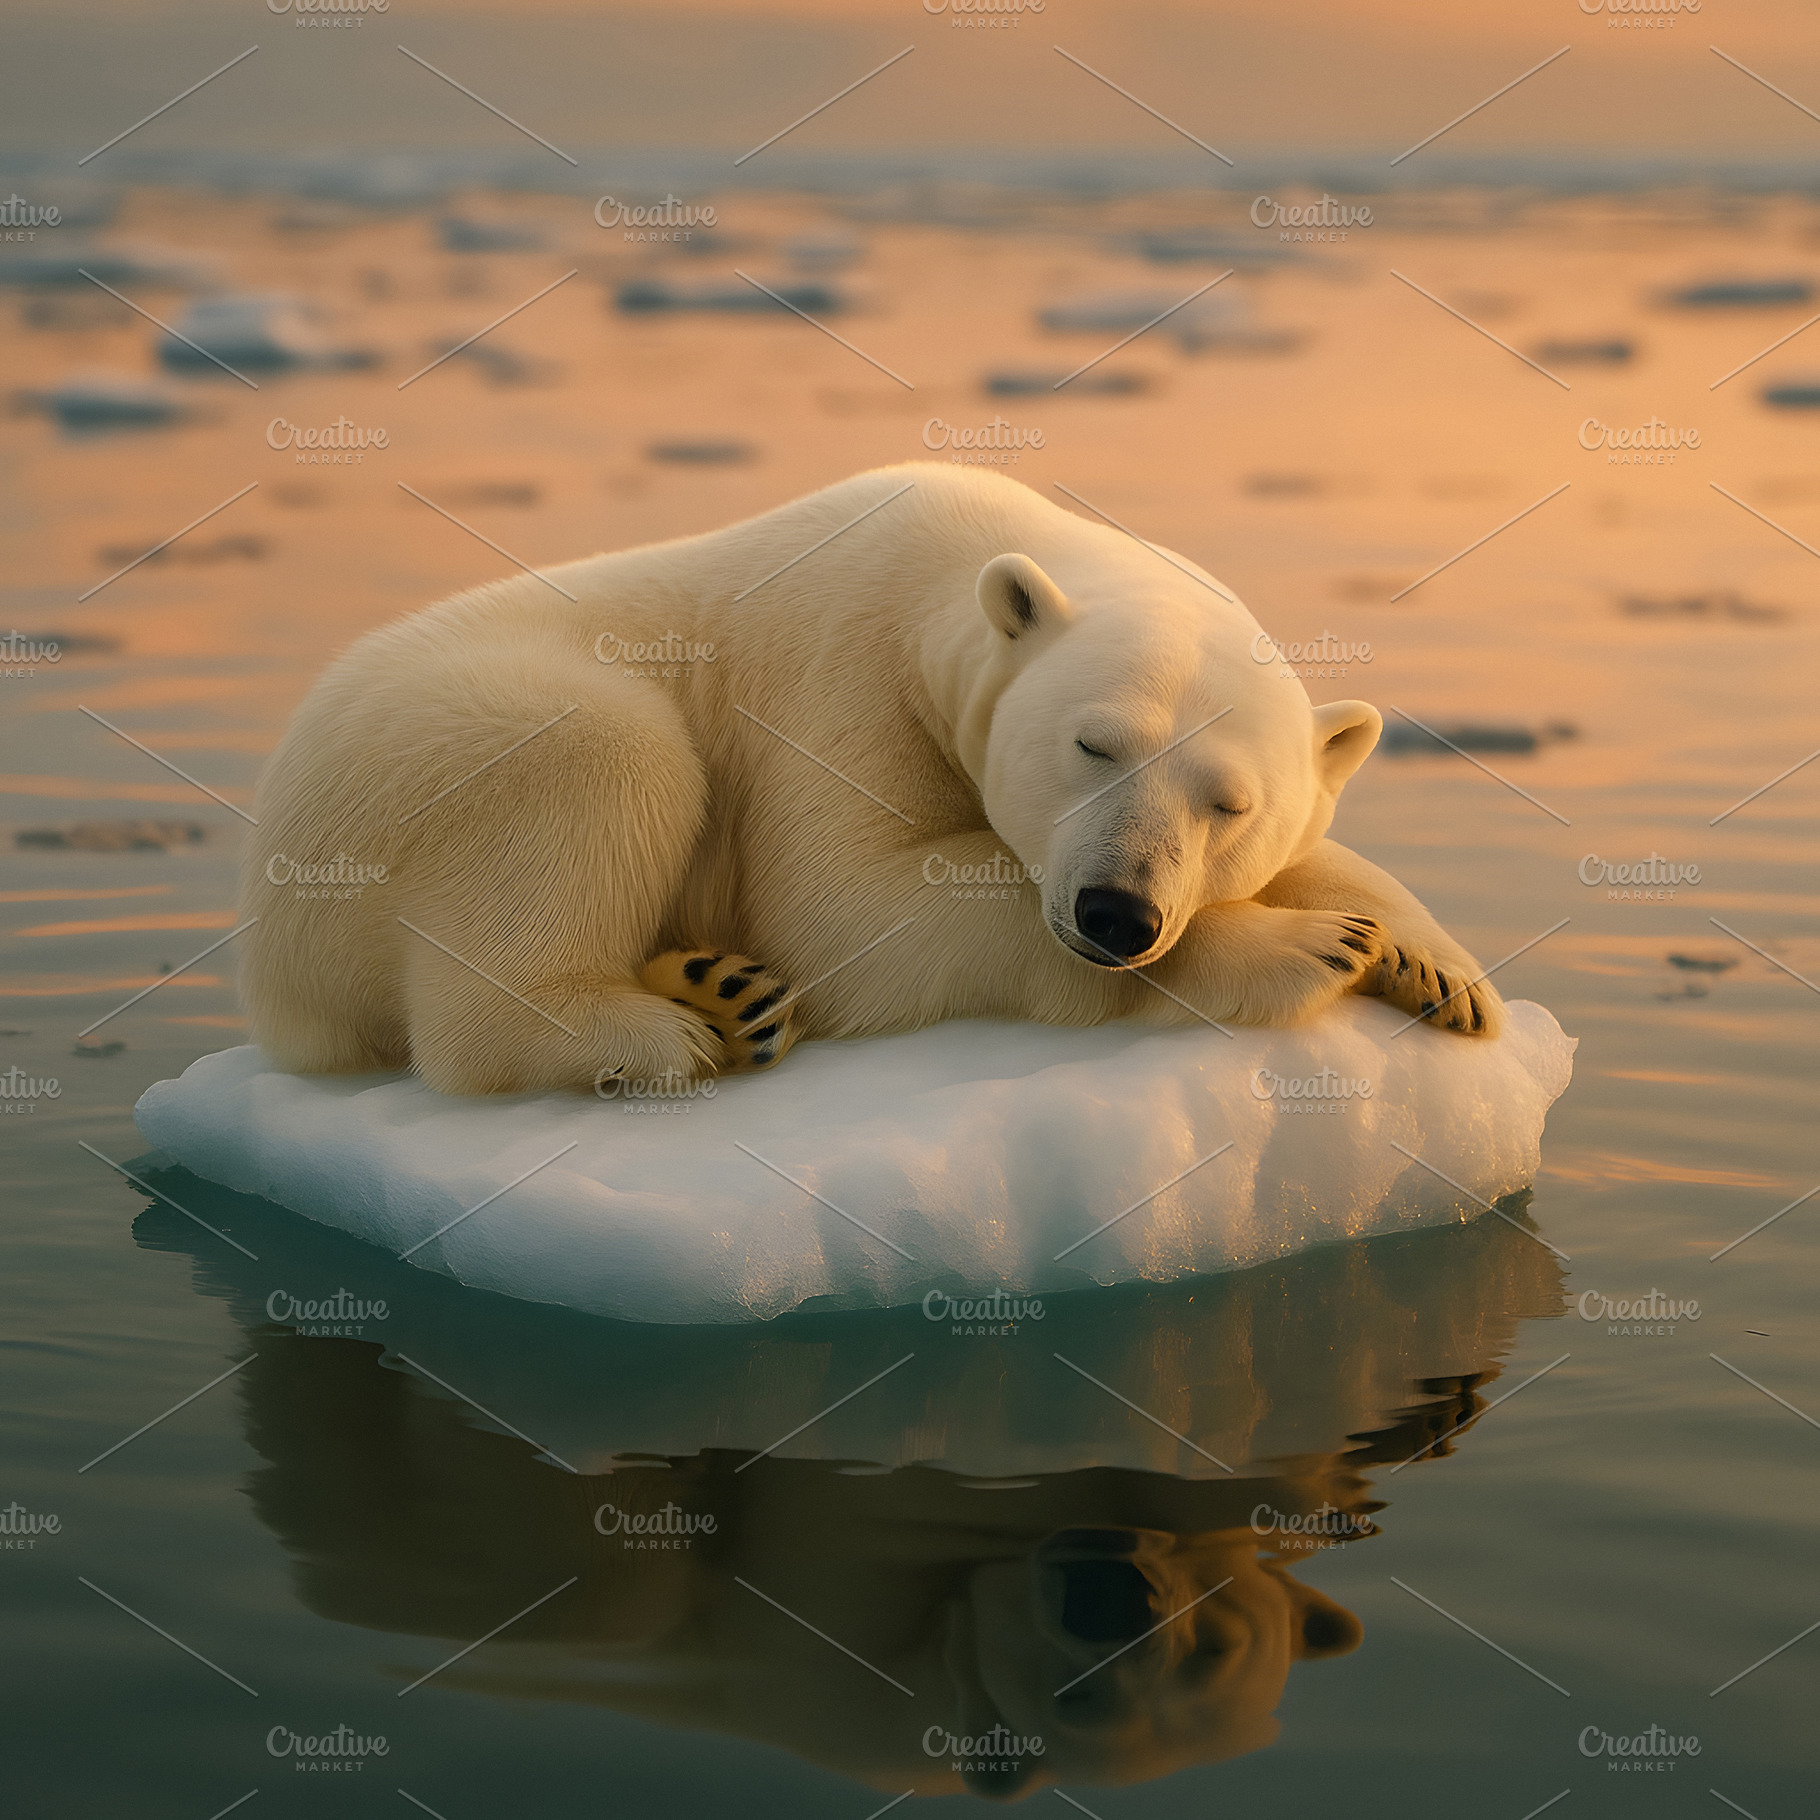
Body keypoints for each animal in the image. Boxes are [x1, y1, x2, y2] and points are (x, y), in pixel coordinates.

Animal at [240, 462, 1501, 1095]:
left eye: (1228, 803)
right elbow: (849, 905)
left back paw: (719, 989)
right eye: (1093, 744)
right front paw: (1302, 945)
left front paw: (1436, 970)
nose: (1116, 912)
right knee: (606, 750)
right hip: (424, 755)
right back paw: (659, 1029)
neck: (960, 561)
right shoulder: (836, 674)